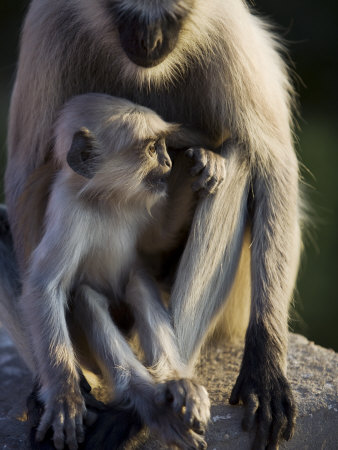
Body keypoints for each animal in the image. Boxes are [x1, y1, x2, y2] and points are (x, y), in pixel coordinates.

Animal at [3, 0, 300, 448]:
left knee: (241, 157)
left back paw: (158, 397)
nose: (149, 41)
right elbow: (26, 180)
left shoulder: (227, 30)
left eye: (173, 17)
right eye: (124, 14)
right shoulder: (48, 24)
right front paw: (56, 391)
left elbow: (273, 169)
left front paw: (264, 365)